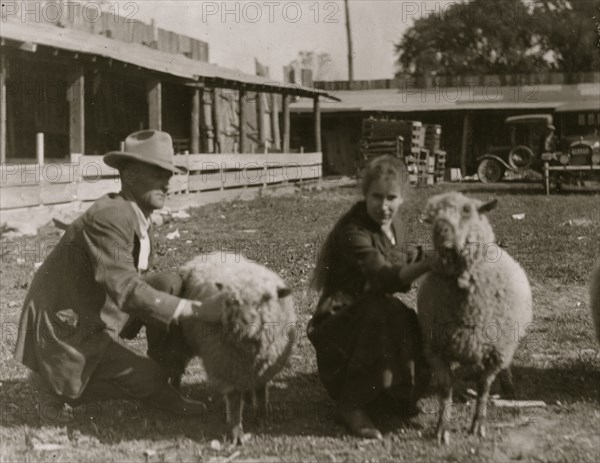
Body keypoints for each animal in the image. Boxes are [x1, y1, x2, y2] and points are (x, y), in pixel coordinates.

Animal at [150, 254, 296, 446]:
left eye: (262, 301)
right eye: (230, 301)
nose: (235, 326)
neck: (248, 346)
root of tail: (204, 256)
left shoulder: (264, 366)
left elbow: (261, 391)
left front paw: (262, 417)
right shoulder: (226, 365)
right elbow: (234, 400)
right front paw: (236, 433)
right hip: (181, 341)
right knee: (175, 367)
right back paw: (176, 394)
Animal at [414, 193, 532, 446]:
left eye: (467, 211)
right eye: (432, 218)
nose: (441, 234)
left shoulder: (497, 351)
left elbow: (484, 386)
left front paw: (478, 424)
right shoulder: (435, 350)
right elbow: (445, 389)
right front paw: (442, 427)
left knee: (504, 366)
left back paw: (508, 384)